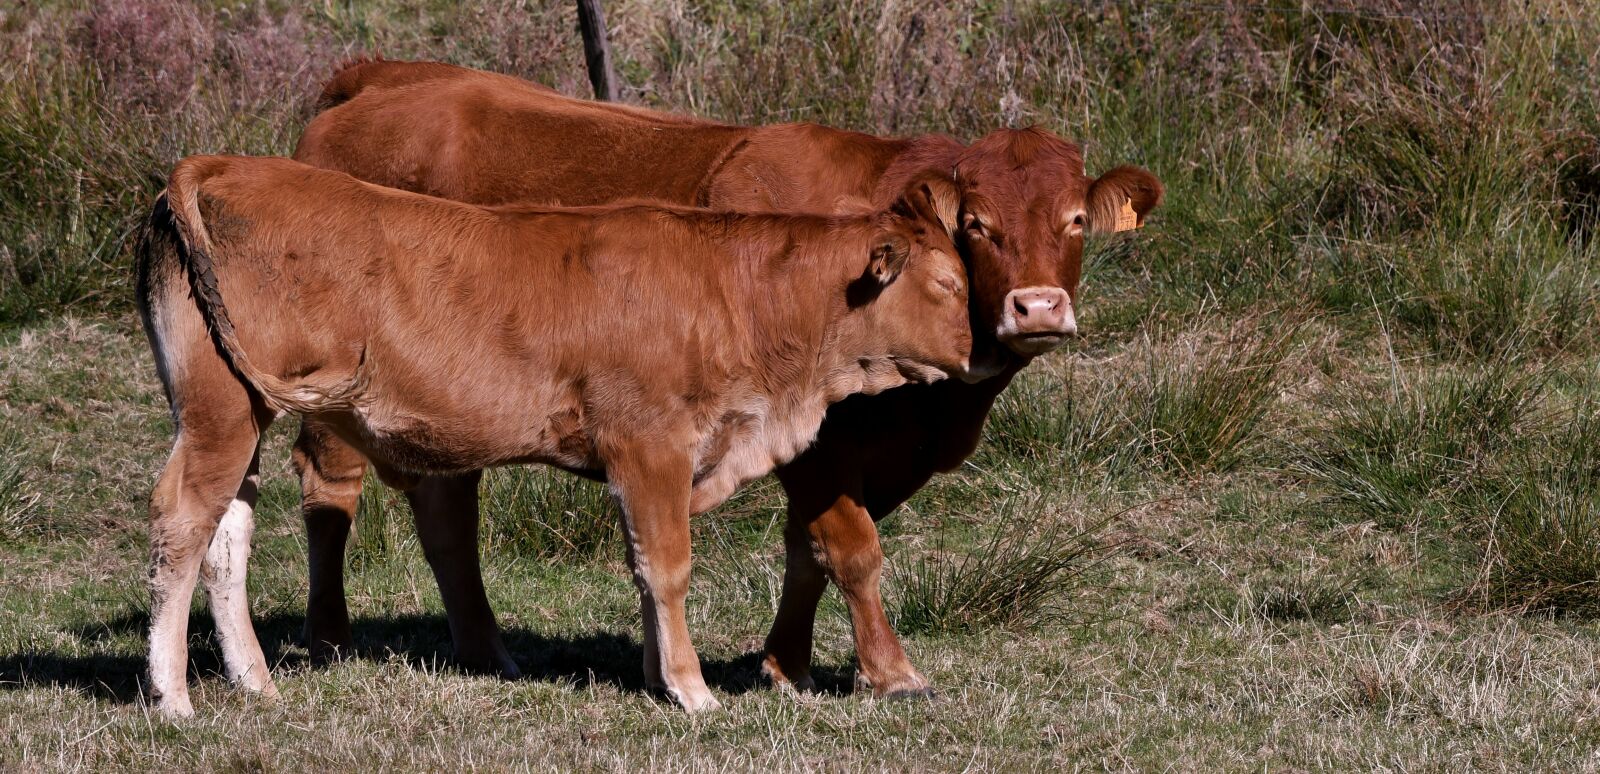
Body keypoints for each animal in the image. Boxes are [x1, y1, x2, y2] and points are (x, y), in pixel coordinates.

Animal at [136, 154, 975, 717]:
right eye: (949, 283)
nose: (974, 353)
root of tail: (222, 166)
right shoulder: (651, 446)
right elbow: (667, 566)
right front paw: (692, 689)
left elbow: (641, 567)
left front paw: (656, 676)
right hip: (220, 414)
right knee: (183, 521)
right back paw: (172, 693)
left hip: (240, 418)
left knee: (227, 537)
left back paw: (254, 680)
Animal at [286, 59, 1164, 697]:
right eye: (978, 225)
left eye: (1074, 221)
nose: (1037, 307)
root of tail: (386, 76)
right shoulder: (818, 440)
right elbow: (850, 548)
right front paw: (890, 671)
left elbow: (805, 549)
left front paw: (784, 664)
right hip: (337, 399)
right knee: (332, 493)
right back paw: (330, 636)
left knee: (446, 508)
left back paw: (483, 647)